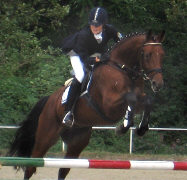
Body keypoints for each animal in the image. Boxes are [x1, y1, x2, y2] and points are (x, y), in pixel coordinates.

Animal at [7, 29, 165, 179]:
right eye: (147, 55)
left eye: (162, 55)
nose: (158, 84)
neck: (121, 68)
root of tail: (49, 100)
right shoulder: (109, 106)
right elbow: (130, 98)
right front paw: (123, 127)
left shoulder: (138, 100)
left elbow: (147, 101)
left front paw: (141, 128)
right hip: (45, 136)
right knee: (31, 166)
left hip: (77, 141)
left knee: (63, 170)